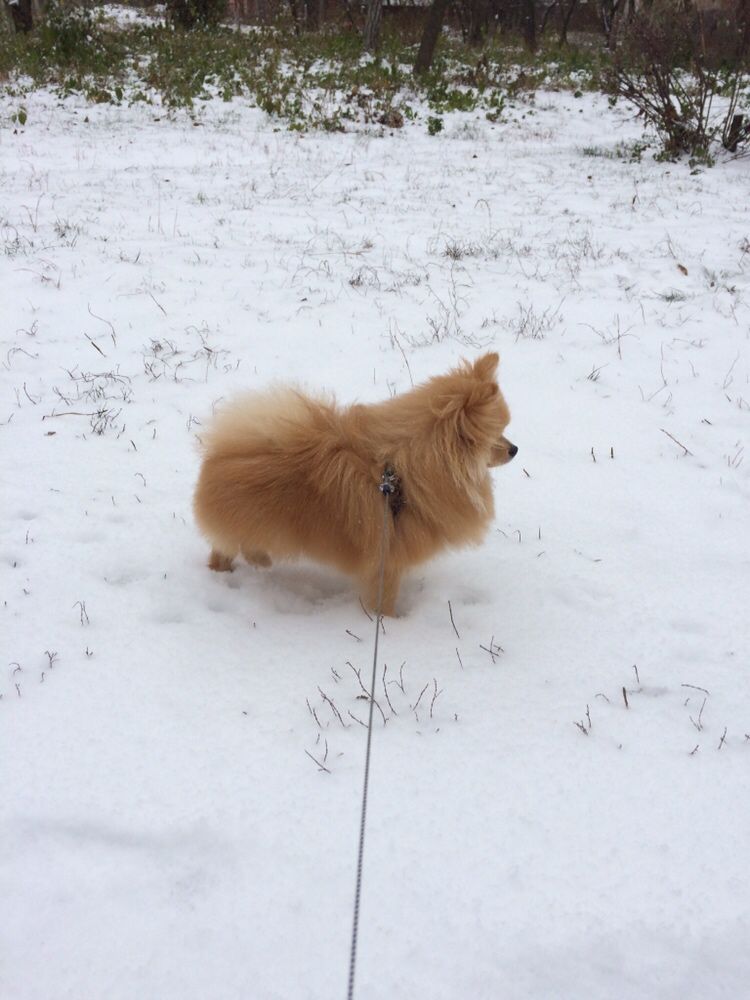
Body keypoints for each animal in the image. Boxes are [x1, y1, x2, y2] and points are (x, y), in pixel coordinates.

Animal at [194, 352, 516, 616]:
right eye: (497, 436)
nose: (515, 449)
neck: (401, 473)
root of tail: (221, 453)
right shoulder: (386, 561)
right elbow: (384, 600)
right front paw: (389, 624)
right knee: (229, 545)